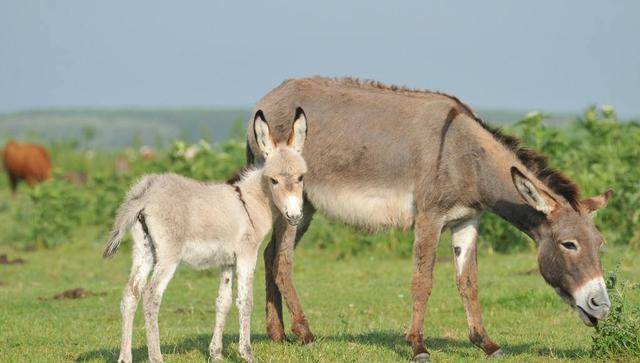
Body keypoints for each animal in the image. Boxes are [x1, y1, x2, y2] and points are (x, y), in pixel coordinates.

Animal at [102, 109, 308, 362]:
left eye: (300, 178)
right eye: (274, 180)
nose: (295, 216)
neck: (250, 202)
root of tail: (145, 193)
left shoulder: (227, 260)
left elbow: (223, 302)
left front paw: (216, 353)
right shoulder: (247, 254)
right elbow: (245, 301)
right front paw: (246, 353)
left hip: (144, 250)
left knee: (131, 295)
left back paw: (125, 357)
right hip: (168, 255)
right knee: (151, 296)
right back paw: (156, 356)